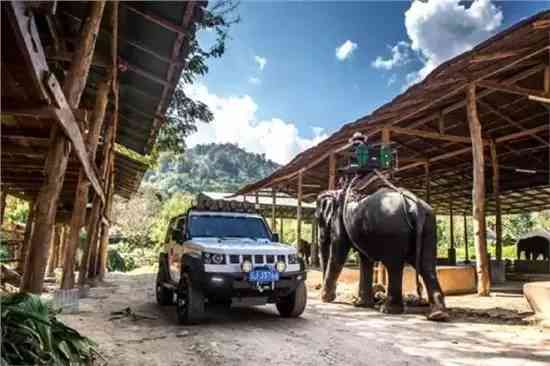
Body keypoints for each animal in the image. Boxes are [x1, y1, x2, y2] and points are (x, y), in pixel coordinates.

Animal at [316, 182, 450, 322]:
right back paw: (438, 315)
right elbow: (365, 259)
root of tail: (415, 205)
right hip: (429, 226)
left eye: (318, 218)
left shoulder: (339, 220)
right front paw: (361, 304)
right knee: (427, 266)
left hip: (393, 230)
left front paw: (325, 299)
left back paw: (388, 310)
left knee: (394, 266)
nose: (330, 295)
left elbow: (339, 253)